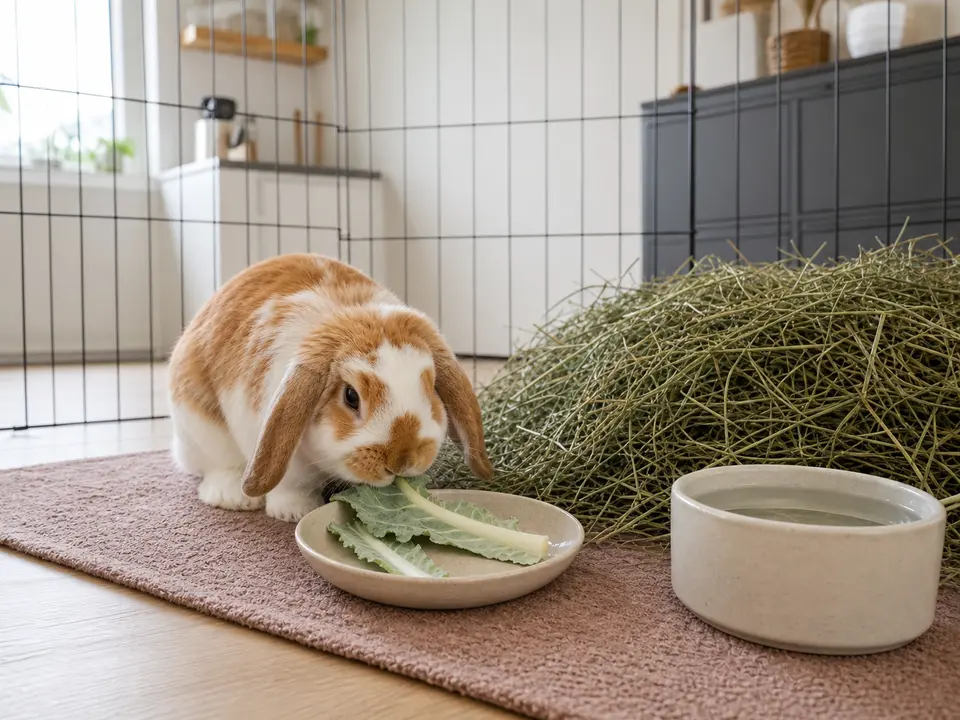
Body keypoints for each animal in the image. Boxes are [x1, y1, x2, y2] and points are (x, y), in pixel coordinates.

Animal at [167, 253, 493, 523]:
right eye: (351, 396)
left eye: (431, 387)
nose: (401, 460)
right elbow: (290, 484)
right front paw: (295, 513)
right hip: (199, 428)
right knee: (218, 465)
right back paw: (234, 497)